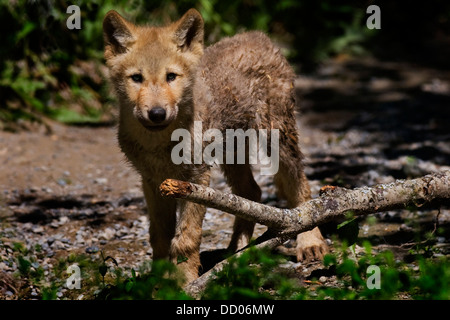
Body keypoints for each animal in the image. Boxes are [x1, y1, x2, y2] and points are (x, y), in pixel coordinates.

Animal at [102, 8, 326, 282]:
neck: (160, 143)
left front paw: (183, 282)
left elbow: (186, 239)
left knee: (300, 188)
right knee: (251, 193)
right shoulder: (154, 182)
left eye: (171, 77)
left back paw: (310, 242)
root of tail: (258, 36)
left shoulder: (196, 178)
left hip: (278, 140)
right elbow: (160, 237)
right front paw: (159, 280)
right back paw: (238, 255)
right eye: (136, 78)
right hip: (231, 155)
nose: (156, 114)